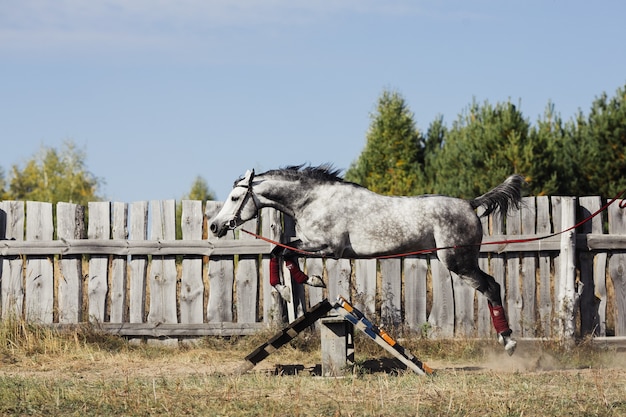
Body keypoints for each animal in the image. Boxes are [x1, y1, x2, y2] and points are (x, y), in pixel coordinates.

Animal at [210, 164, 520, 352]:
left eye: (235, 198)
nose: (215, 226)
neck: (312, 200)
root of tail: (470, 204)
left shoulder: (327, 247)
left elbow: (286, 251)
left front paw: (307, 282)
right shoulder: (310, 243)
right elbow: (279, 250)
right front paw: (292, 286)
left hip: (458, 262)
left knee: (491, 287)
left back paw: (508, 341)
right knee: (492, 287)